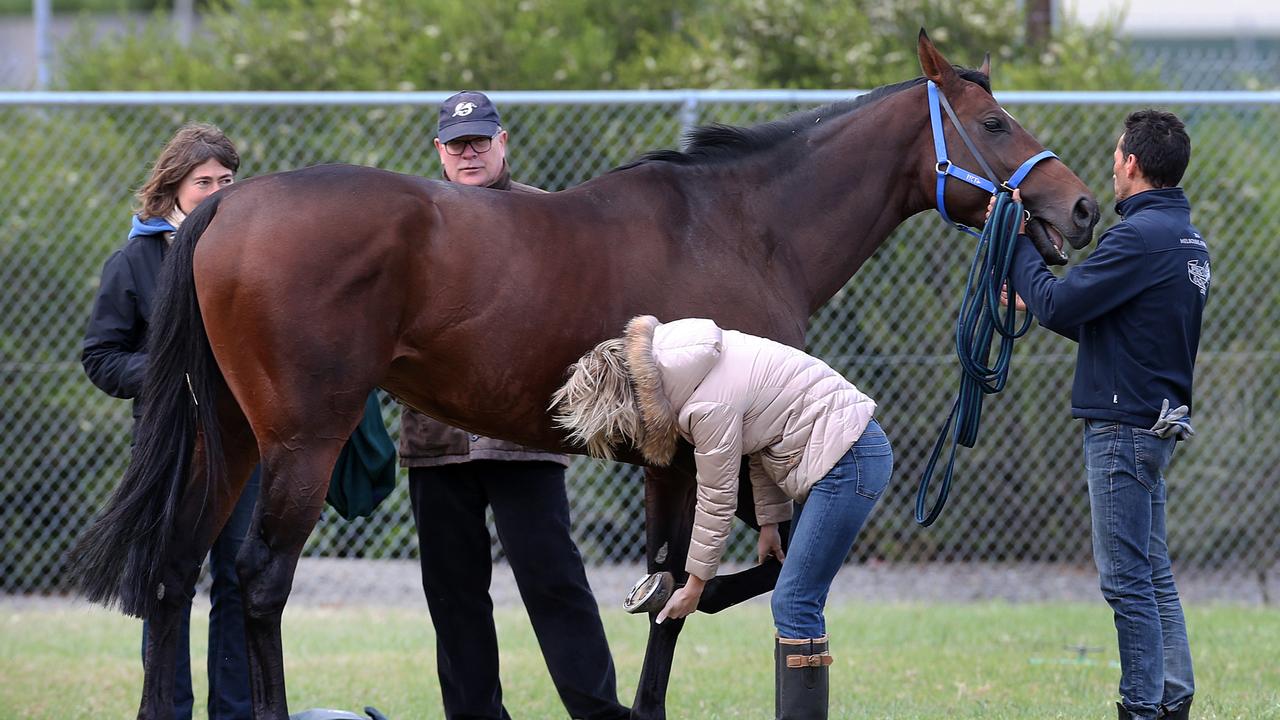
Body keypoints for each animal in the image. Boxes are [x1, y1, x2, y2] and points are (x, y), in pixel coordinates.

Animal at [64, 33, 1095, 717]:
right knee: (257, 580)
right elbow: (696, 586)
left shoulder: (680, 457)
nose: (1081, 208)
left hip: (229, 437)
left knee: (173, 570)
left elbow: (690, 580)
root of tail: (228, 210)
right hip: (300, 443)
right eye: (996, 121)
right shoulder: (702, 449)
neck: (744, 224)